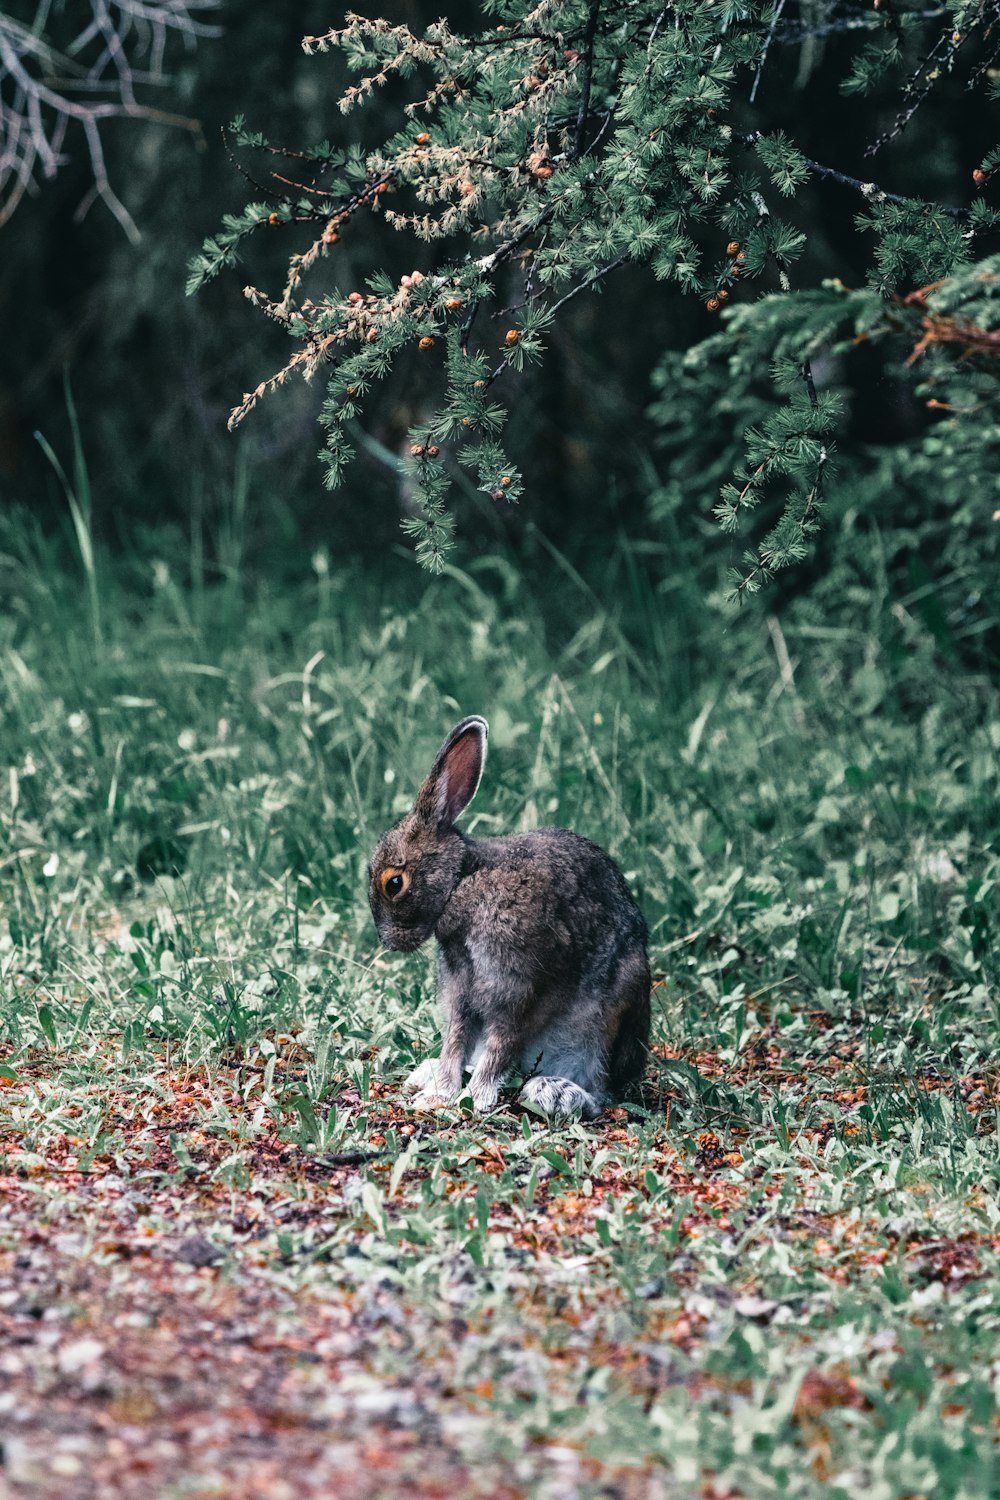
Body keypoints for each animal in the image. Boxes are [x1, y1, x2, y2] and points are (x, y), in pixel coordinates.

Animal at [367, 714, 650, 1116]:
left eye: (394, 883)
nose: (388, 941)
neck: (462, 882)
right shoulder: (462, 992)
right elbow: (455, 1041)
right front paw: (440, 1094)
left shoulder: (521, 989)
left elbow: (502, 1045)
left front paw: (474, 1098)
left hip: (611, 1017)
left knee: (600, 1091)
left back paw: (554, 1092)